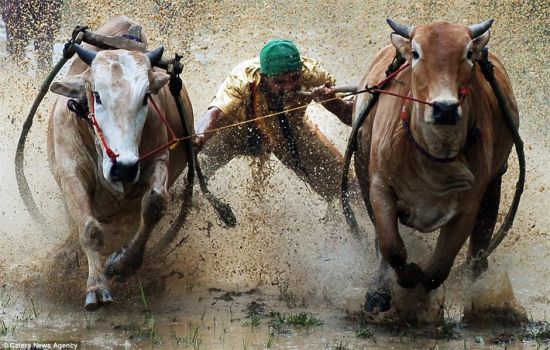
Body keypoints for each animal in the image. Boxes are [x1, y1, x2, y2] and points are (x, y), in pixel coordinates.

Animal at [47, 17, 194, 312]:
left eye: (146, 96)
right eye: (97, 95)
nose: (123, 167)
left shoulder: (157, 161)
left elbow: (155, 204)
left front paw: (123, 263)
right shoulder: (70, 172)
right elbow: (89, 228)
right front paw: (96, 287)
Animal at [354, 18, 520, 314]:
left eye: (468, 53)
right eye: (416, 53)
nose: (445, 108)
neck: (433, 157)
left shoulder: (468, 206)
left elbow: (438, 269)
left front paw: (420, 297)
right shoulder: (379, 186)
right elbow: (391, 246)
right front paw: (401, 280)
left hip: (495, 183)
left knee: (479, 247)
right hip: (362, 168)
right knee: (379, 243)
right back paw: (379, 290)